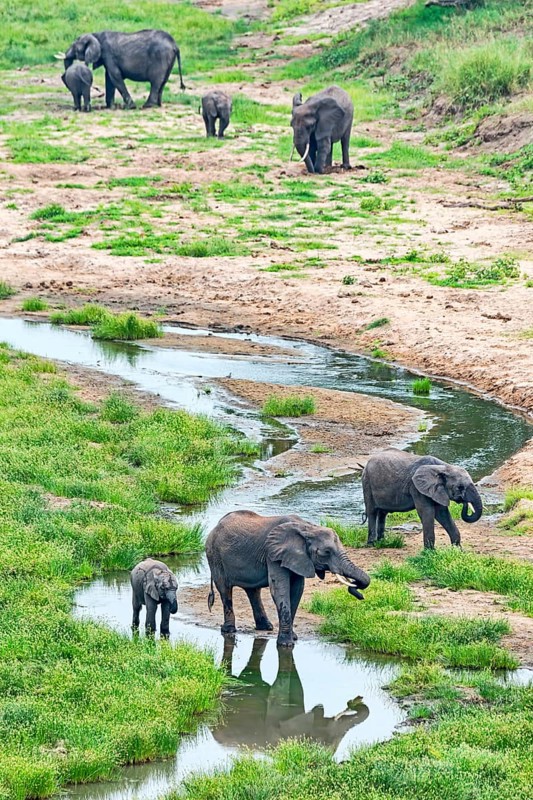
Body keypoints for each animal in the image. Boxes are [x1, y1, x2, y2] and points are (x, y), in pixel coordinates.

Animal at [206, 510, 370, 647]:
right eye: (326, 552)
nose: (359, 594)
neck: (308, 528)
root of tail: (216, 526)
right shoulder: (273, 554)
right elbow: (279, 588)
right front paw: (286, 644)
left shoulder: (299, 559)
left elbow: (297, 590)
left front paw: (294, 637)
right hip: (214, 556)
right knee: (225, 589)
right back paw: (229, 630)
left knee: (253, 591)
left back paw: (266, 627)